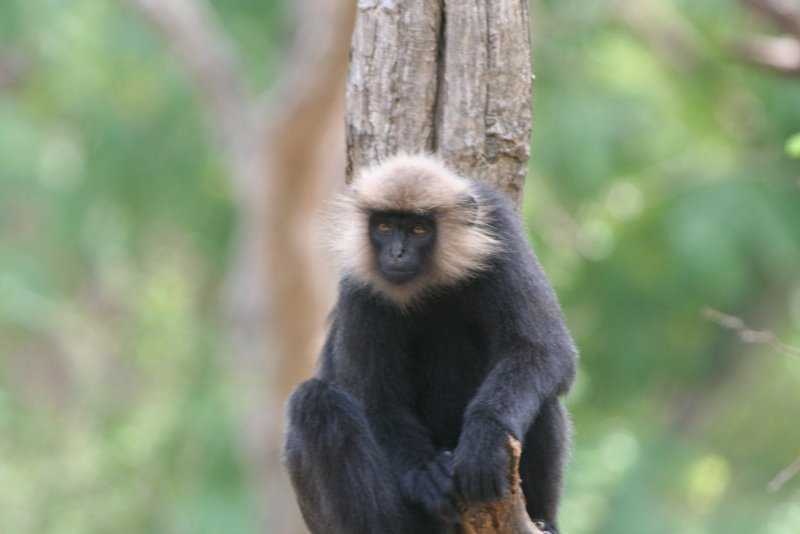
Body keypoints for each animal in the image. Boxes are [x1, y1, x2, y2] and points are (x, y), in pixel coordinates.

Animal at [284, 153, 580, 532]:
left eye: (418, 230)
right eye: (384, 227)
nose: (396, 253)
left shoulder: (501, 232)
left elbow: (541, 349)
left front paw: (485, 441)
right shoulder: (359, 282)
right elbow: (377, 400)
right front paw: (425, 473)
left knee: (541, 396)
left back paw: (543, 520)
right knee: (315, 402)